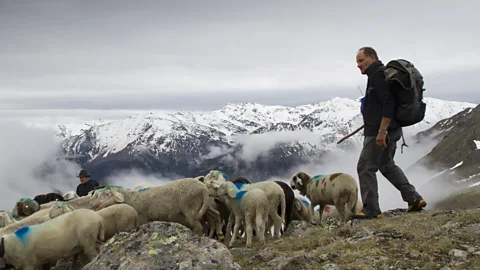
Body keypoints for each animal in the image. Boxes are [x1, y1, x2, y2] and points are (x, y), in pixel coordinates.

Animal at [86, 179, 214, 236]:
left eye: (107, 194)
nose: (93, 205)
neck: (132, 199)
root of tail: (203, 188)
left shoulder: (143, 219)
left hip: (191, 208)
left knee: (198, 227)